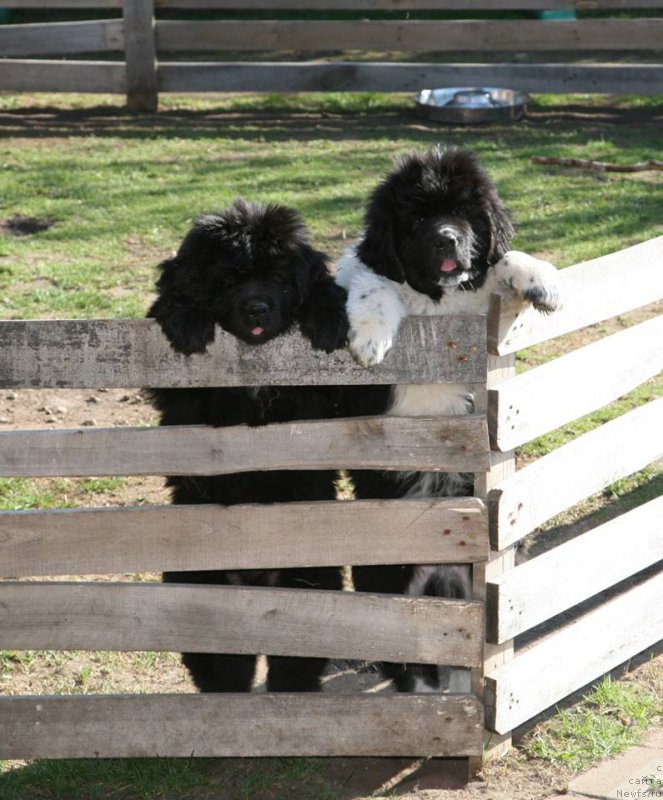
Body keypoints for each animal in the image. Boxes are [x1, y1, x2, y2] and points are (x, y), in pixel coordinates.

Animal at [148, 200, 350, 692]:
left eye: (279, 279)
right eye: (227, 280)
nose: (256, 308)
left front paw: (328, 317)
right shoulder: (183, 402)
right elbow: (174, 297)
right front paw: (187, 318)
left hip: (311, 587)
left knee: (292, 666)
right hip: (203, 592)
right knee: (225, 671)